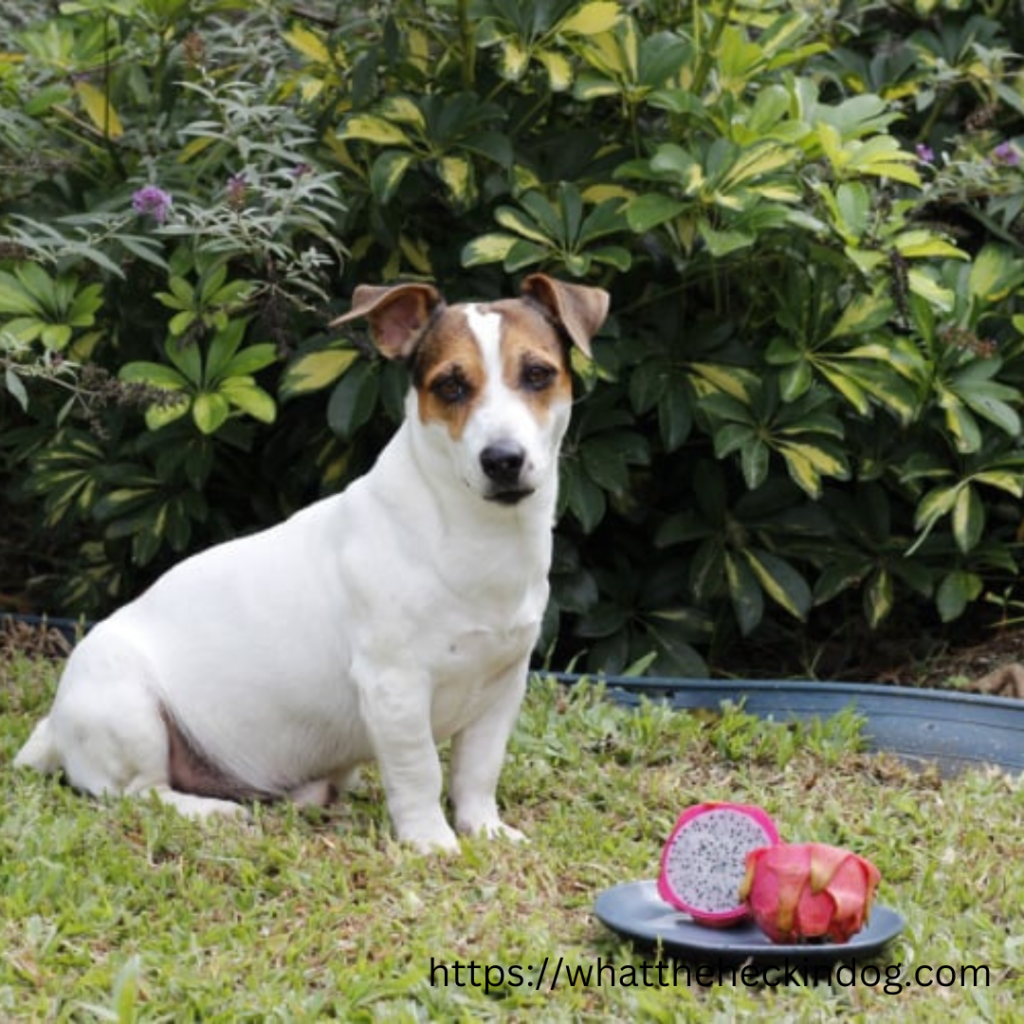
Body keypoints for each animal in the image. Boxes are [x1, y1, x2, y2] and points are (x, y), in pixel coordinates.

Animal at [14, 276, 606, 851]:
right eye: (450, 386)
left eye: (537, 374)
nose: (503, 460)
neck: (472, 534)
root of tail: (54, 727)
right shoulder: (394, 687)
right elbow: (420, 773)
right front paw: (431, 841)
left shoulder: (502, 690)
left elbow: (477, 773)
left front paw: (484, 829)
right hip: (130, 710)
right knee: (140, 793)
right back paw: (209, 809)